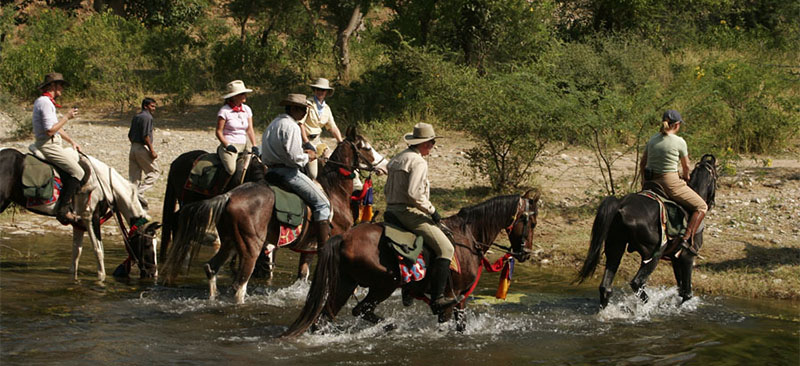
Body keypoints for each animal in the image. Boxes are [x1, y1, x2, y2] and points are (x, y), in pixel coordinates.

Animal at [0, 147, 159, 282]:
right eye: (147, 244)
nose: (153, 273)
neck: (105, 185)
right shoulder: (91, 219)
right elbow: (98, 251)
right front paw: (101, 279)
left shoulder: (78, 224)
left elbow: (76, 255)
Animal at [162, 127, 378, 304]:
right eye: (367, 147)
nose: (382, 164)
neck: (334, 193)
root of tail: (229, 195)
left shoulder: (308, 249)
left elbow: (303, 276)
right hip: (250, 247)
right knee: (239, 285)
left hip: (230, 242)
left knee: (211, 268)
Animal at [282, 192, 536, 338]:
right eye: (531, 222)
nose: (525, 253)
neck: (468, 238)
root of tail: (343, 237)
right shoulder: (451, 298)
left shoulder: (459, 299)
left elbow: (460, 326)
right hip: (383, 285)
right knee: (360, 309)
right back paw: (390, 326)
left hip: (346, 284)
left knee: (326, 317)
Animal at [576, 153, 720, 308]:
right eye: (716, 177)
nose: (711, 203)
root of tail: (621, 204)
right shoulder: (687, 257)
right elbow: (686, 293)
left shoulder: (675, 258)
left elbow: (680, 289)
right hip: (653, 255)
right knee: (637, 283)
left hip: (615, 248)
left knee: (606, 287)